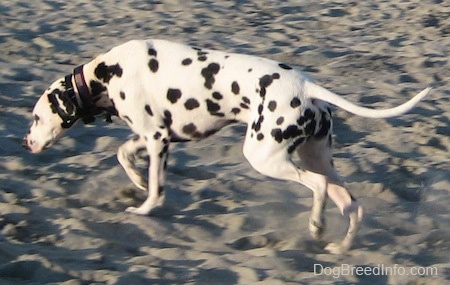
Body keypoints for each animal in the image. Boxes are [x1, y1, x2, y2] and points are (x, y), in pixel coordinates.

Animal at [22, 38, 430, 253]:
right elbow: (122, 154)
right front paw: (135, 180)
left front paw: (143, 206)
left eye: (37, 117)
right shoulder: (153, 136)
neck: (105, 74)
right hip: (319, 159)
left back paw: (316, 225)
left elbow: (156, 189)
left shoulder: (157, 140)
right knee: (350, 204)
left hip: (265, 157)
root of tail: (306, 87)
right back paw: (339, 247)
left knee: (316, 188)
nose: (26, 142)